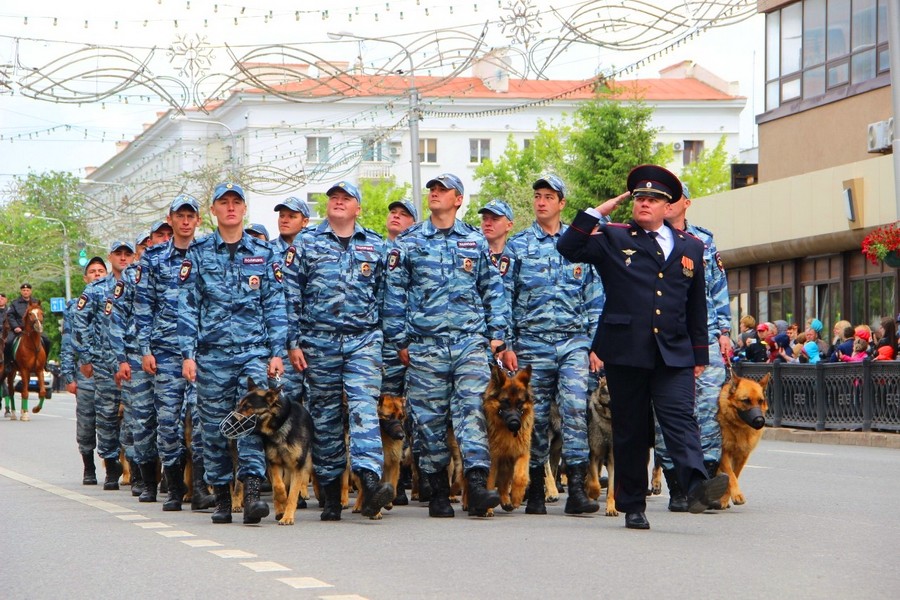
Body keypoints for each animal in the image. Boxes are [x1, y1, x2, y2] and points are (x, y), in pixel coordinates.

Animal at [236, 380, 312, 524]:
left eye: (247, 406)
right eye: (239, 405)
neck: (279, 427)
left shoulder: (297, 468)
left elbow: (292, 494)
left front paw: (288, 517)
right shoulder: (274, 463)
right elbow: (278, 486)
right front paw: (282, 501)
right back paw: (279, 510)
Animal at [478, 364, 536, 512]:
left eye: (520, 403)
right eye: (505, 402)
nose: (515, 423)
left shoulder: (522, 453)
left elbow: (520, 477)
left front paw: (517, 498)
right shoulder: (493, 458)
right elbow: (489, 483)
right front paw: (487, 509)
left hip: (506, 463)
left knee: (504, 483)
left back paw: (505, 500)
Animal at [584, 376, 620, 516]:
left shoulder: (612, 461)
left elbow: (611, 489)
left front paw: (611, 508)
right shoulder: (593, 456)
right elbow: (595, 483)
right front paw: (593, 493)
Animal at [716, 372, 768, 508]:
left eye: (760, 401)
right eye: (746, 401)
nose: (759, 421)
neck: (739, 427)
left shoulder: (742, 456)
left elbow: (734, 474)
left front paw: (725, 499)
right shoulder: (723, 453)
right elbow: (730, 476)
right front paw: (736, 495)